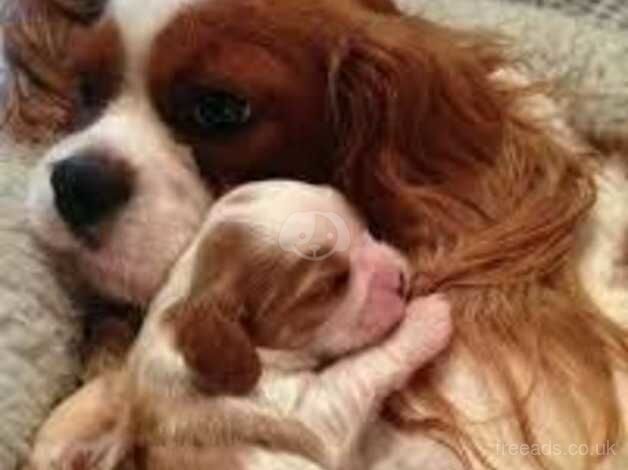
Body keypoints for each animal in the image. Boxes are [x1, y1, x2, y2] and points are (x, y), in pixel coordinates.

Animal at [27, 182, 454, 470]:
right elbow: (364, 367)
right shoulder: (310, 410)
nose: (401, 279)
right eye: (330, 286)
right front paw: (428, 317)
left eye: (366, 229)